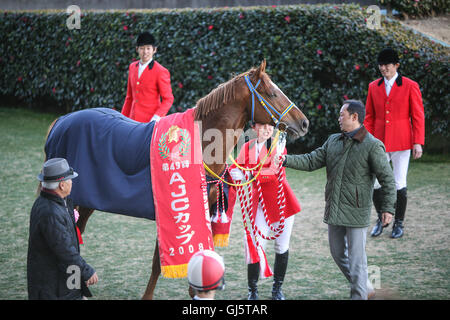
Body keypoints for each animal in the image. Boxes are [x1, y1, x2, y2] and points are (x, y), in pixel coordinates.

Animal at [43, 60, 310, 300]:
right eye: (272, 93)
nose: (304, 122)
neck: (200, 146)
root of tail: (62, 120)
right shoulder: (171, 214)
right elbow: (158, 263)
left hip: (88, 201)